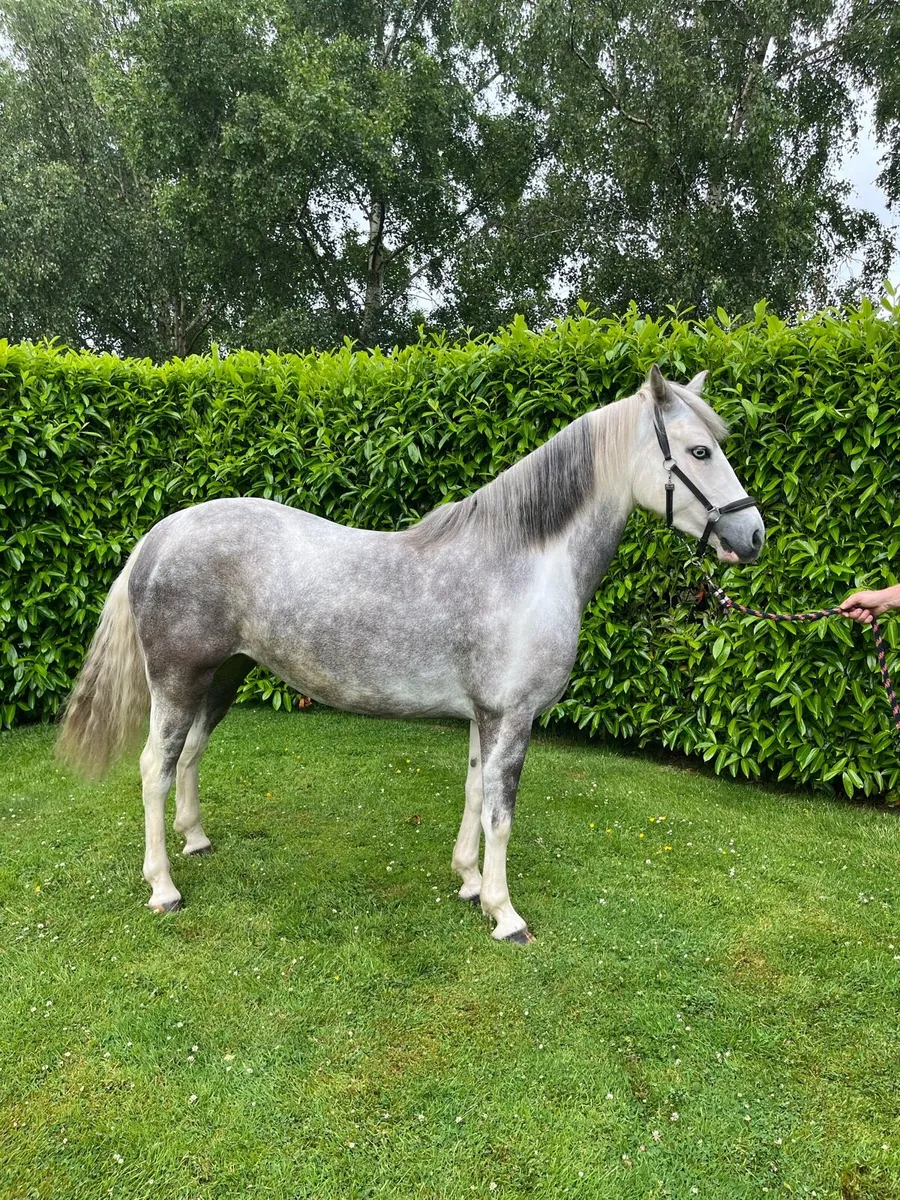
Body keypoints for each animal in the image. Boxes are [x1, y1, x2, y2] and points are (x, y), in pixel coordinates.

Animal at [58, 366, 764, 942]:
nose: (752, 535)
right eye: (700, 450)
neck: (525, 563)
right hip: (178, 679)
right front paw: (506, 914)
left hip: (222, 676)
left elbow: (475, 793)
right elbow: (501, 814)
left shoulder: (485, 717)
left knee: (190, 756)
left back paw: (197, 841)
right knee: (154, 767)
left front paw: (470, 882)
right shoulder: (512, 718)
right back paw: (164, 887)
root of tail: (162, 534)